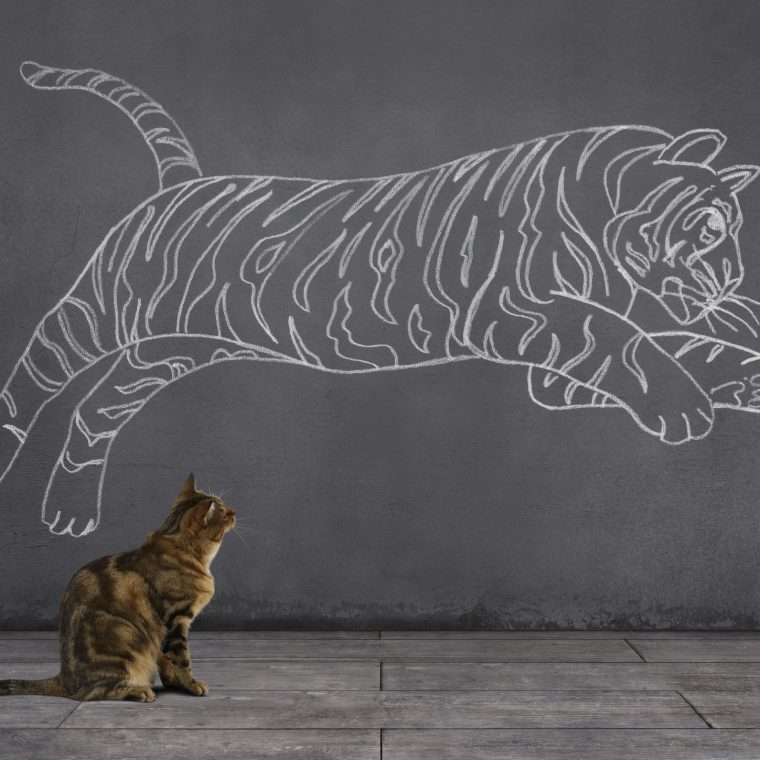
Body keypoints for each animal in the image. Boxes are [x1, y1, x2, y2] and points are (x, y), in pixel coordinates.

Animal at [3, 60, 760, 537]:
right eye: (711, 230)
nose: (732, 281)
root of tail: (179, 182)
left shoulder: (550, 370)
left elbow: (686, 347)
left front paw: (741, 371)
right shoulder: (523, 310)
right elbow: (626, 344)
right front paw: (685, 405)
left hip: (172, 350)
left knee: (96, 411)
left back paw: (69, 510)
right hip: (94, 317)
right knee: (33, 379)